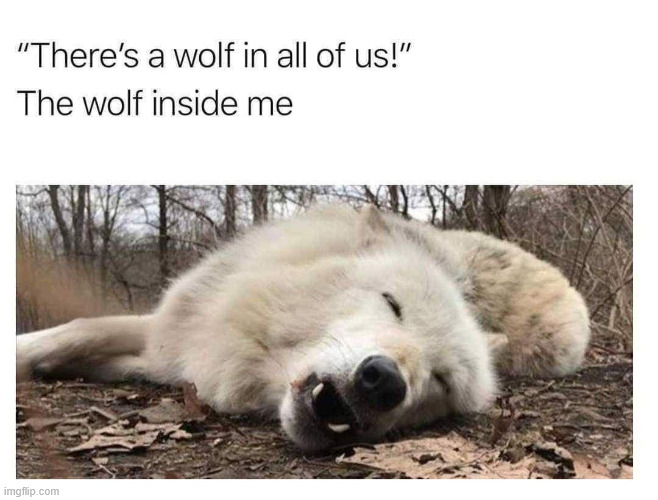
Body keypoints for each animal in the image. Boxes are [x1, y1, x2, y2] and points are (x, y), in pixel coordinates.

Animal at [17, 205, 590, 451]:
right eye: (393, 304)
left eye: (441, 381)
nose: (383, 382)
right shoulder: (176, 336)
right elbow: (81, 328)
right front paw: (31, 354)